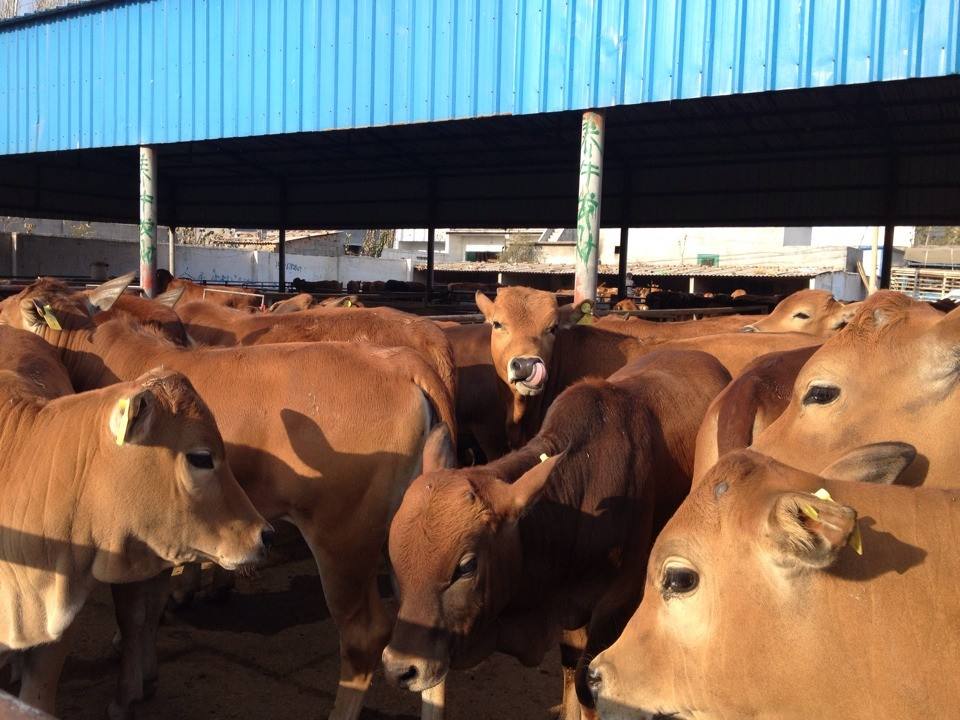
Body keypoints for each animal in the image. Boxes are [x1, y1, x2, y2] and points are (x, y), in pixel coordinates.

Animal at [380, 350, 728, 720]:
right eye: (393, 556)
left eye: (466, 566)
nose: (401, 668)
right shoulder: (569, 617)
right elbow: (571, 672)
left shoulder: (614, 608)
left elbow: (591, 689)